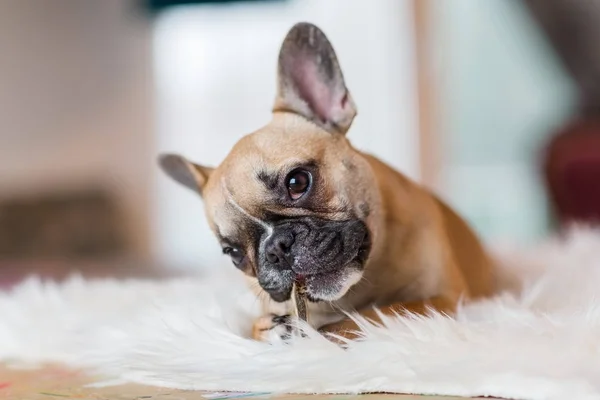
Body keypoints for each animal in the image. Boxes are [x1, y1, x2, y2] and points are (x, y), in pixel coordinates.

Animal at [158, 21, 492, 340]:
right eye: (235, 254)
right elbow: (259, 326)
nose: (277, 249)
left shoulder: (442, 299)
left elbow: (378, 315)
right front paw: (276, 330)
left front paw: (327, 334)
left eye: (297, 182)